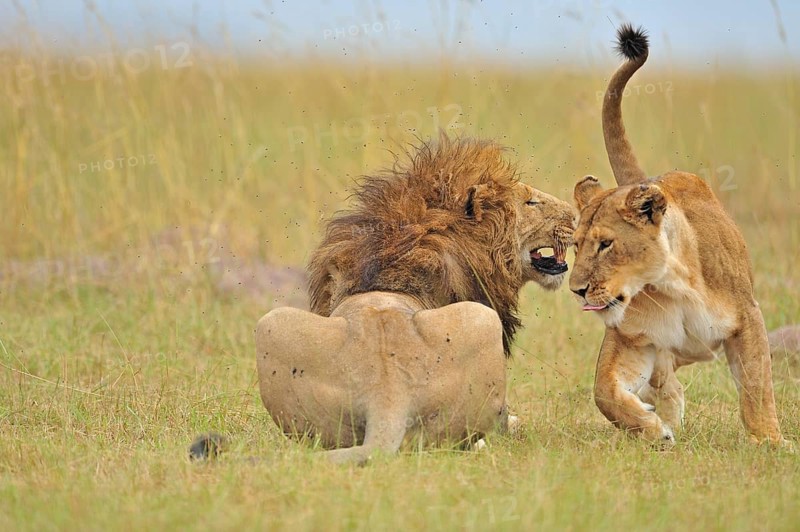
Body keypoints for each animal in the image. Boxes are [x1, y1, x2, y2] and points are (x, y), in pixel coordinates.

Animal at [568, 24, 788, 447]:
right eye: (575, 246)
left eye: (606, 244)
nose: (577, 290)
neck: (670, 286)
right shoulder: (632, 337)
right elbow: (604, 392)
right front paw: (654, 431)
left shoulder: (747, 317)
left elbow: (756, 386)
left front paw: (770, 441)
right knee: (664, 379)